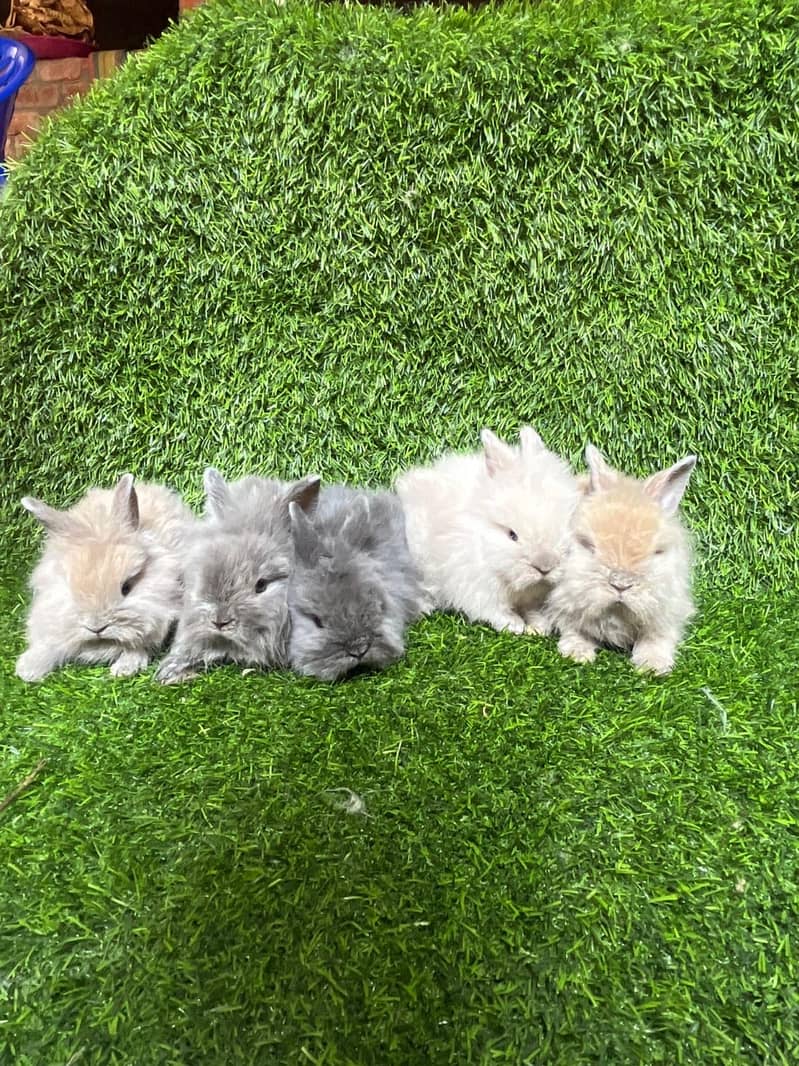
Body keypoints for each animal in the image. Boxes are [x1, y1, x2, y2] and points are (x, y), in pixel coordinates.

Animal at [16, 474, 195, 682]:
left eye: (126, 588)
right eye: (70, 589)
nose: (96, 628)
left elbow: (140, 644)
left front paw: (124, 668)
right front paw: (27, 669)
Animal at [395, 426, 581, 635]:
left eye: (566, 524)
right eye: (512, 535)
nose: (545, 566)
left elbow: (533, 609)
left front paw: (539, 626)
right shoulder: (477, 587)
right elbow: (495, 611)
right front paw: (515, 625)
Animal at [547, 445, 697, 674]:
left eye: (656, 552)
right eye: (588, 546)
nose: (620, 584)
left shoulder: (668, 610)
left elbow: (657, 637)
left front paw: (653, 665)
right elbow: (573, 628)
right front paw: (577, 654)